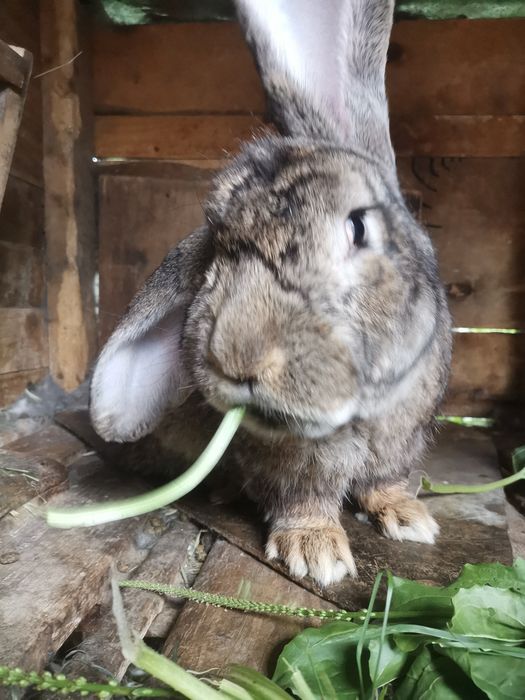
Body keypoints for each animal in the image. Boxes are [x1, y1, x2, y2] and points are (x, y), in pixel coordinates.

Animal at [90, 0, 452, 587]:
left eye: (358, 227)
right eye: (214, 260)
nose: (239, 358)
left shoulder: (404, 440)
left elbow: (386, 481)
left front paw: (410, 518)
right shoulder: (287, 467)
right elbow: (302, 499)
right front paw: (315, 551)